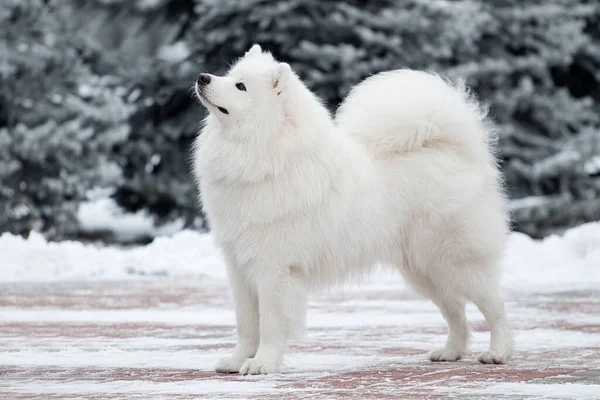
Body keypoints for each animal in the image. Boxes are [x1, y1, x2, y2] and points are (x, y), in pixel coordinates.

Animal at [192, 44, 510, 376]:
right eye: (228, 75)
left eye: (240, 86)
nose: (202, 77)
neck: (264, 153)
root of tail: (454, 152)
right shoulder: (239, 268)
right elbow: (245, 324)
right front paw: (237, 360)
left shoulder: (274, 268)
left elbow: (269, 324)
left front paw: (262, 363)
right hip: (426, 271)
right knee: (456, 311)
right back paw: (450, 352)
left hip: (458, 261)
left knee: (496, 306)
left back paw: (497, 353)